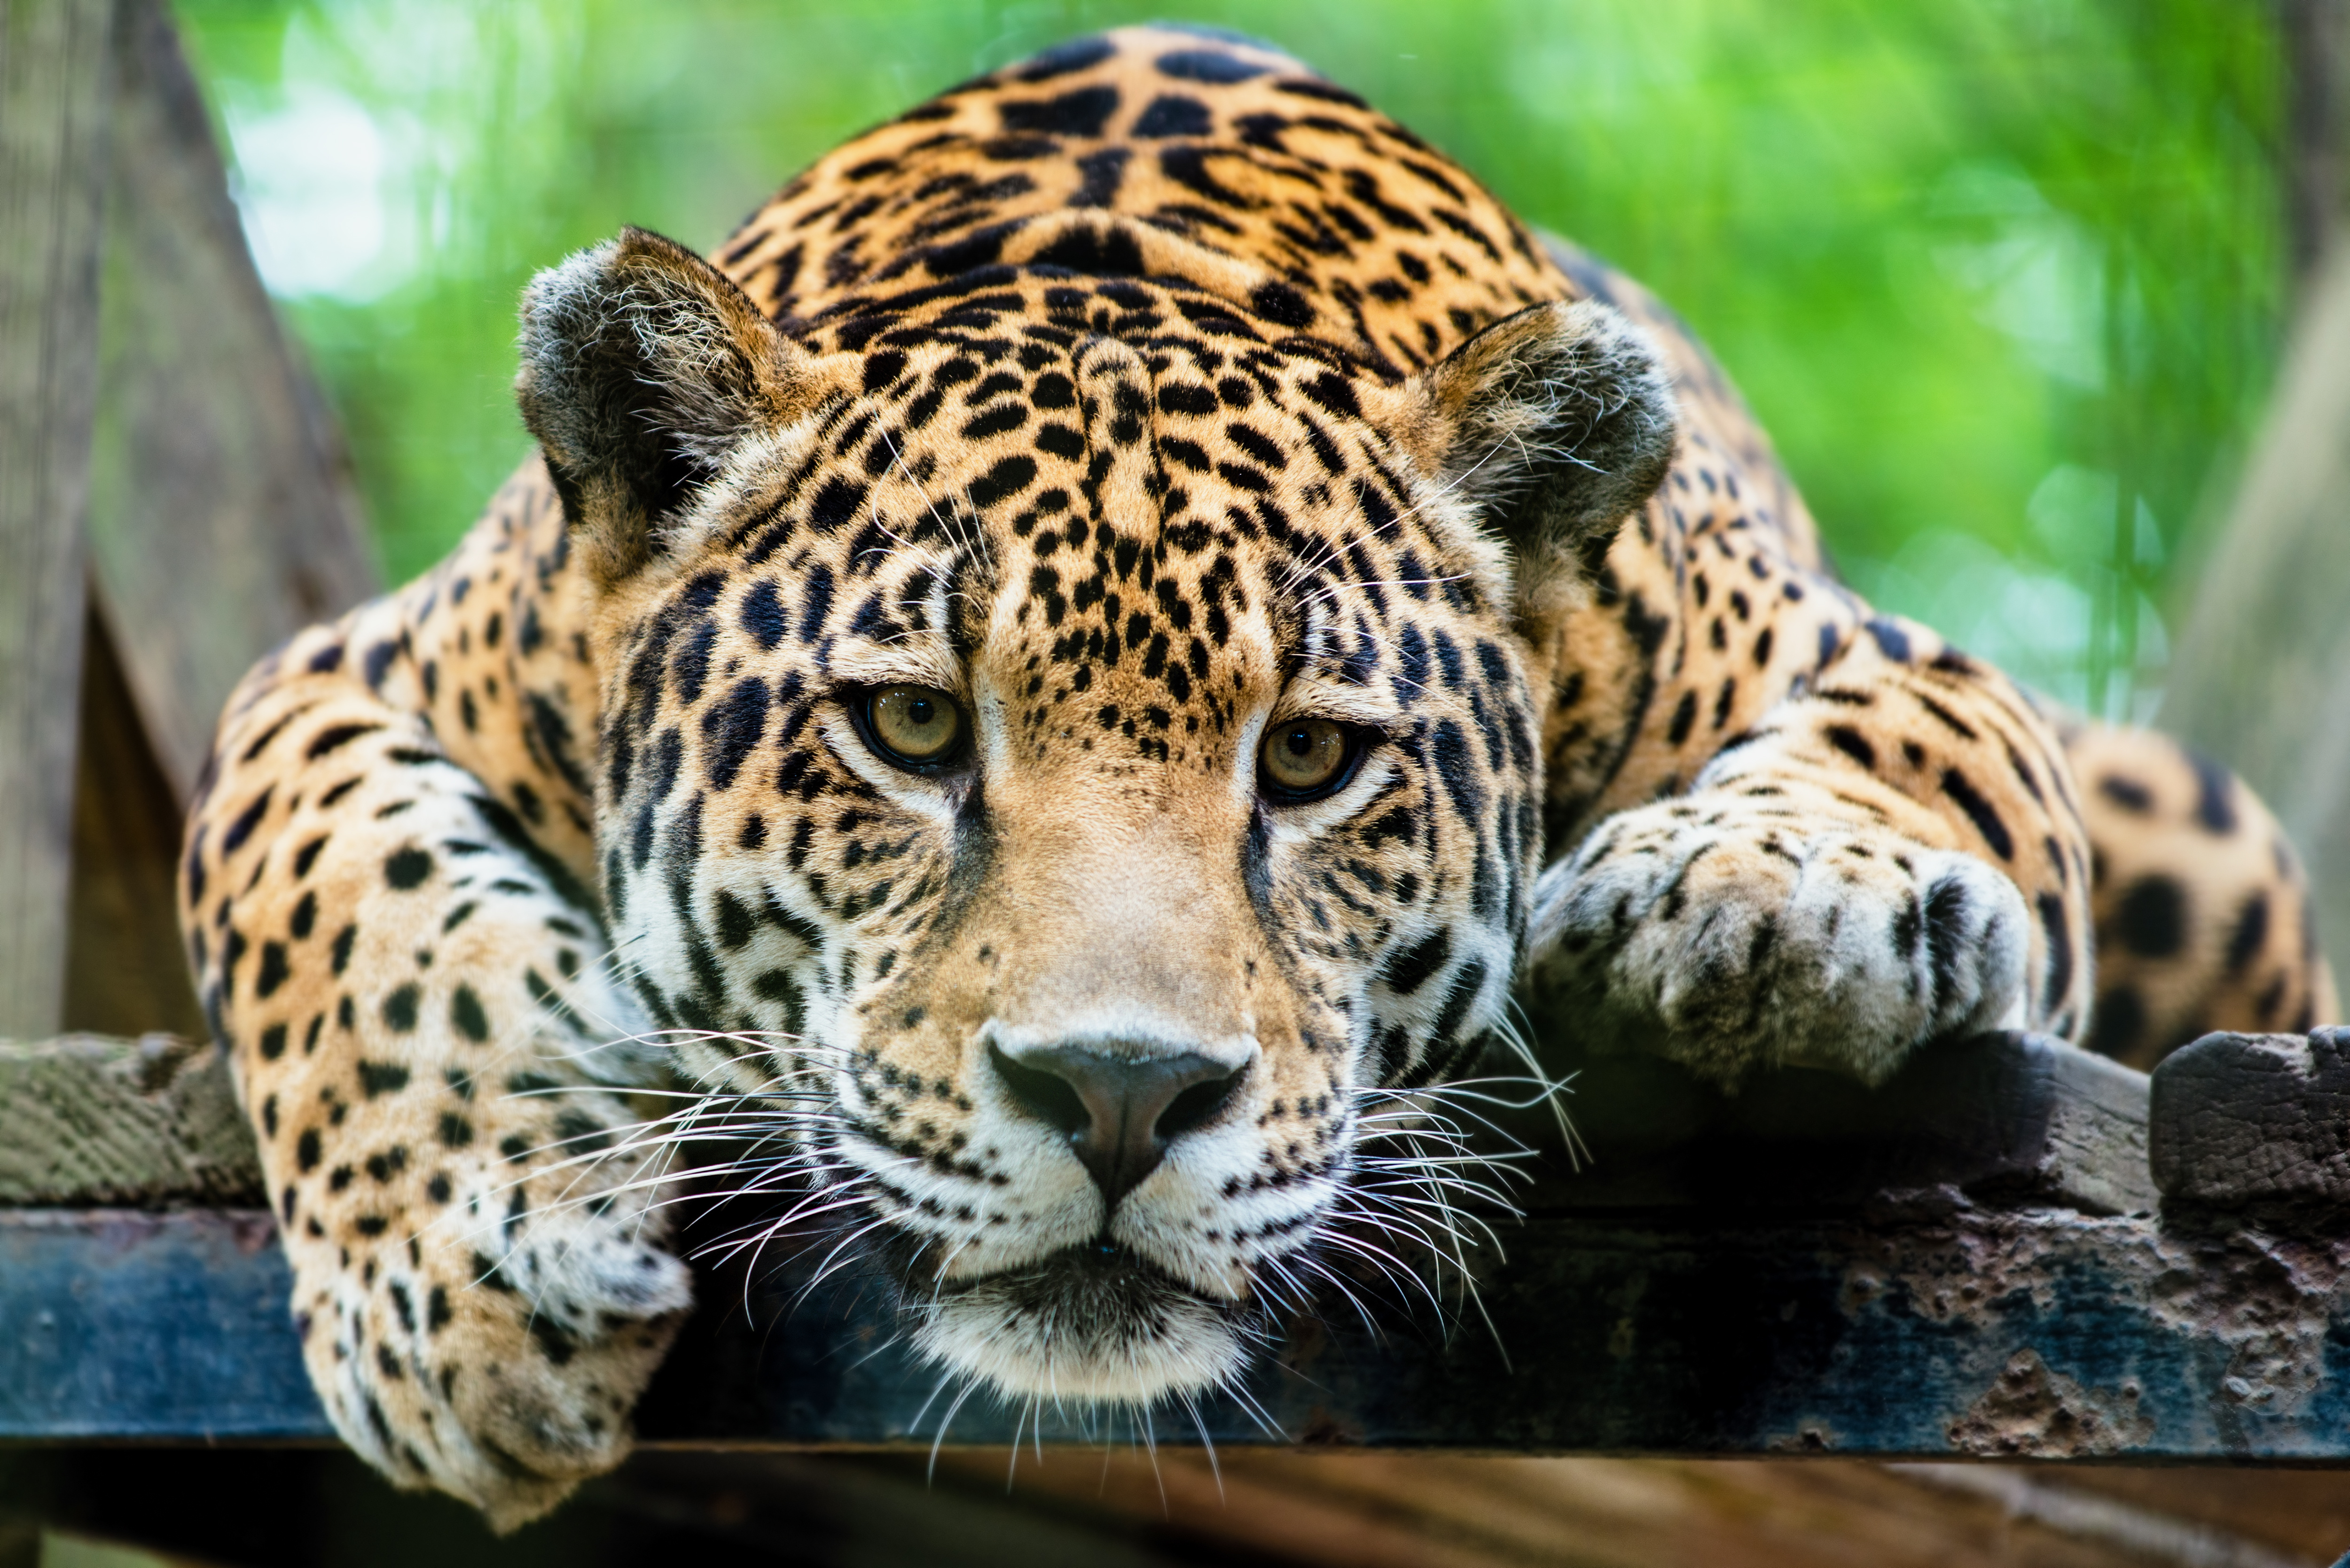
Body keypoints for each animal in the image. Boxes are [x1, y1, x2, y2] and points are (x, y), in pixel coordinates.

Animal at [176, 24, 2335, 1528]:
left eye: (1308, 759)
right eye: (909, 729)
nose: (1120, 1098)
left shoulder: (1863, 649)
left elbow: (1916, 746)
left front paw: (1758, 895)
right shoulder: (352, 669)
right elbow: (328, 894)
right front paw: (462, 1289)